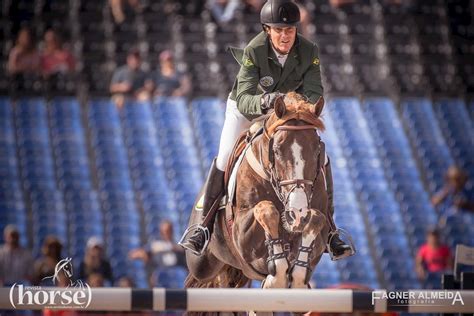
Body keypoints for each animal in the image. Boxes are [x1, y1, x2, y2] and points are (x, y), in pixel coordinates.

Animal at [184, 92, 330, 294]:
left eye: (318, 151)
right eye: (276, 150)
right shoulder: (242, 235)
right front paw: (275, 277)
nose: (297, 213)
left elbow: (317, 218)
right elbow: (266, 209)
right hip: (201, 264)